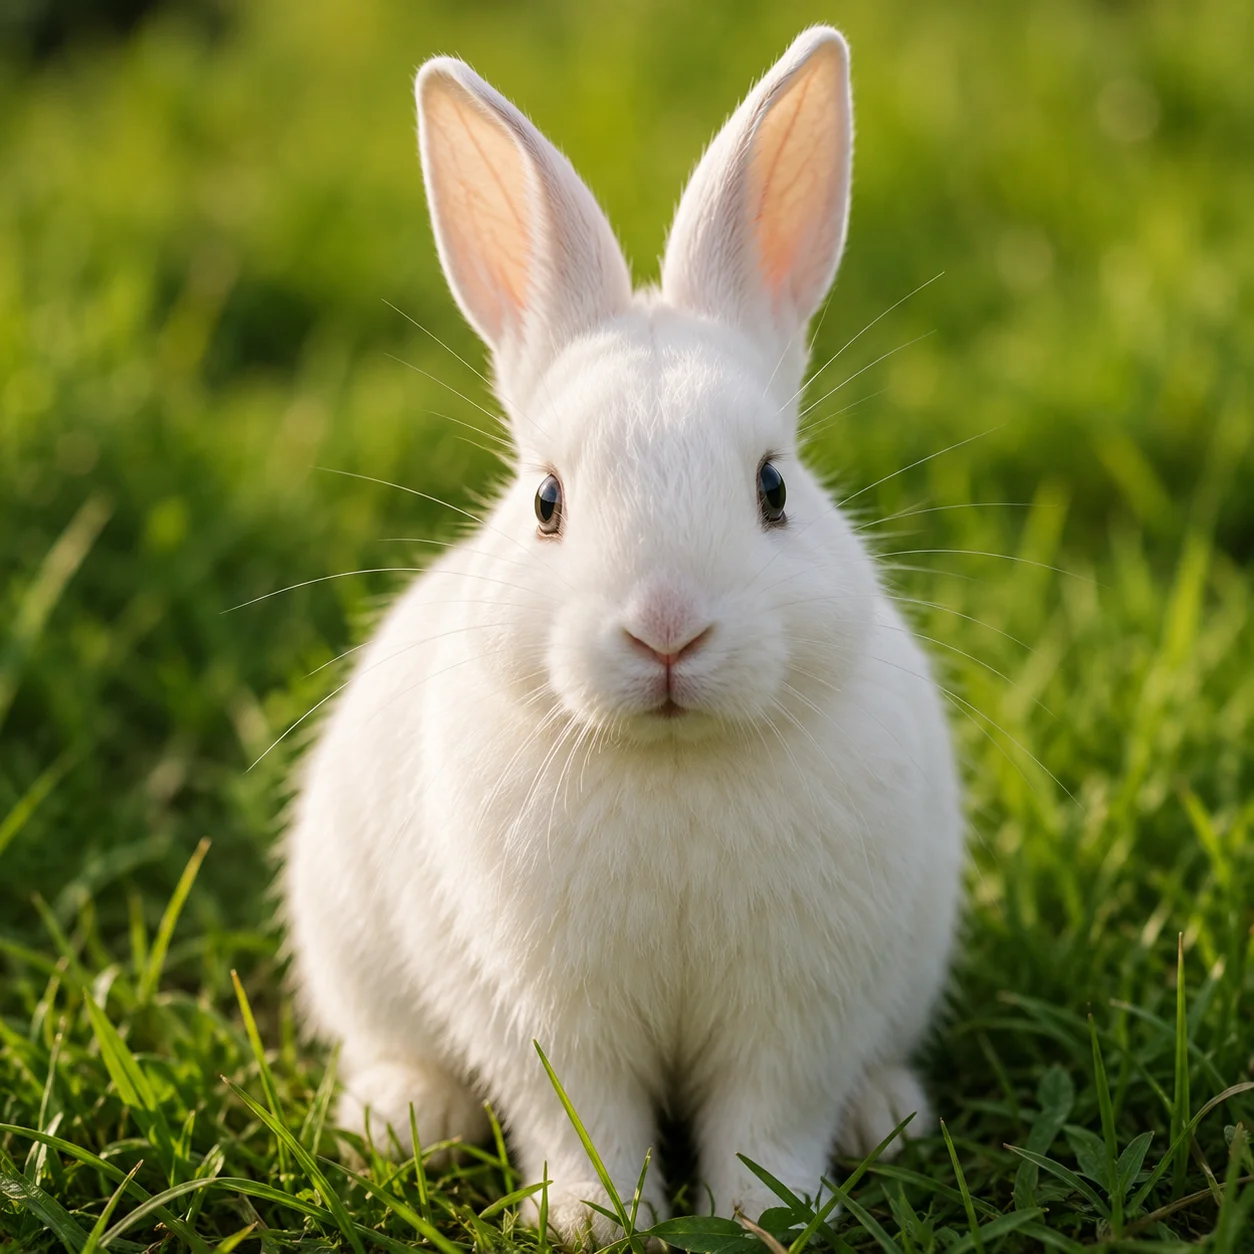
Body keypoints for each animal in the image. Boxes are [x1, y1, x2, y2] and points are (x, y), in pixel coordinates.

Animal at [282, 24, 964, 1245]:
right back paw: (400, 1119)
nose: (667, 630)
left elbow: (768, 1117)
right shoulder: (543, 1013)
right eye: (546, 500)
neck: (673, 759)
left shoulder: (797, 1014)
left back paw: (884, 1116)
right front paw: (594, 1223)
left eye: (774, 487)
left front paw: (766, 1217)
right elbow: (581, 1118)